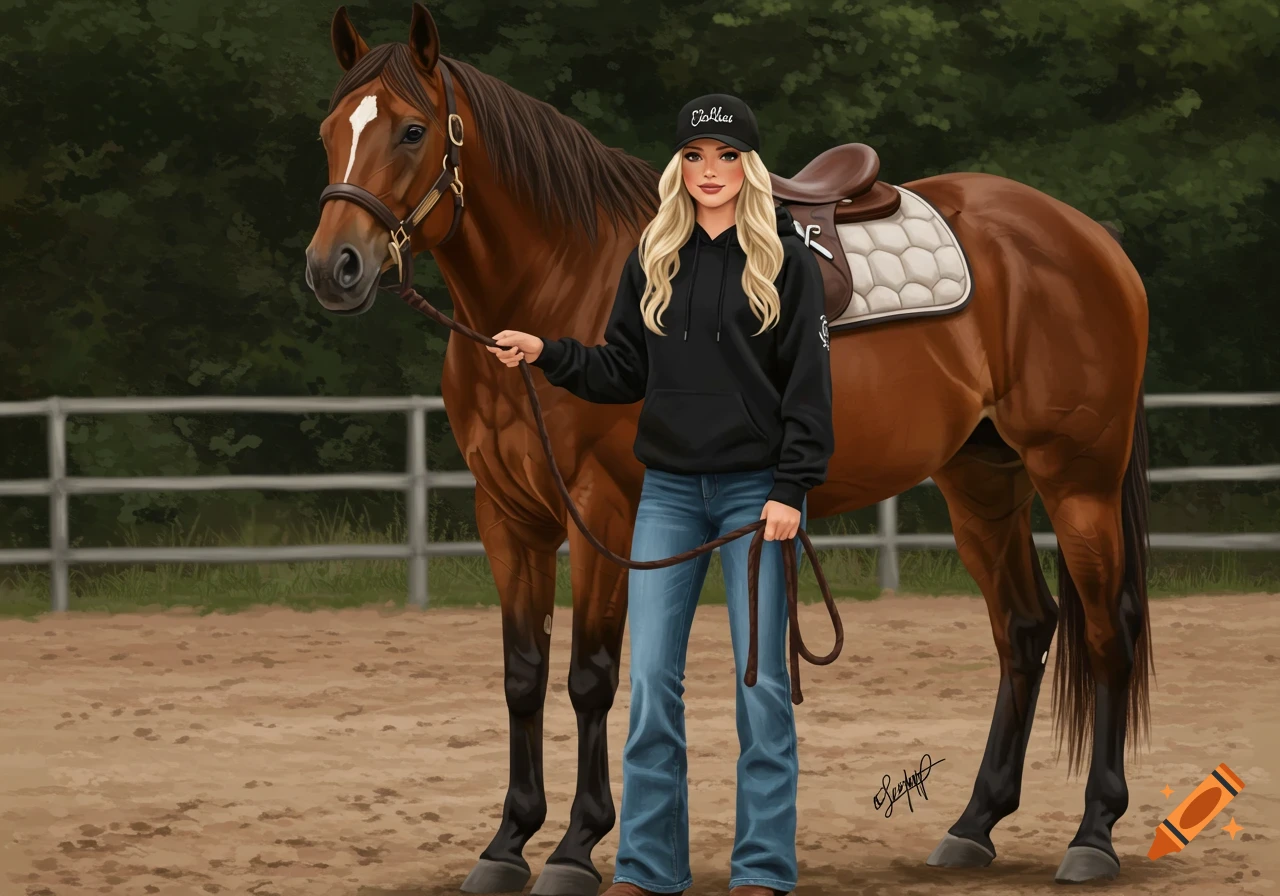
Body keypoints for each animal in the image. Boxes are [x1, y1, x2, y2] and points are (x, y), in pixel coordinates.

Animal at [305, 4, 1152, 890]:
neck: (564, 276)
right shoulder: (508, 517)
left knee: (1108, 631)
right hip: (982, 482)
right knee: (1024, 628)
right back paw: (974, 826)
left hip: (1078, 480)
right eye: (329, 130)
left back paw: (1093, 836)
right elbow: (524, 674)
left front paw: (575, 848)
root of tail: (1088, 239)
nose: (335, 267)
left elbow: (590, 676)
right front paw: (507, 844)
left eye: (411, 130)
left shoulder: (603, 512)